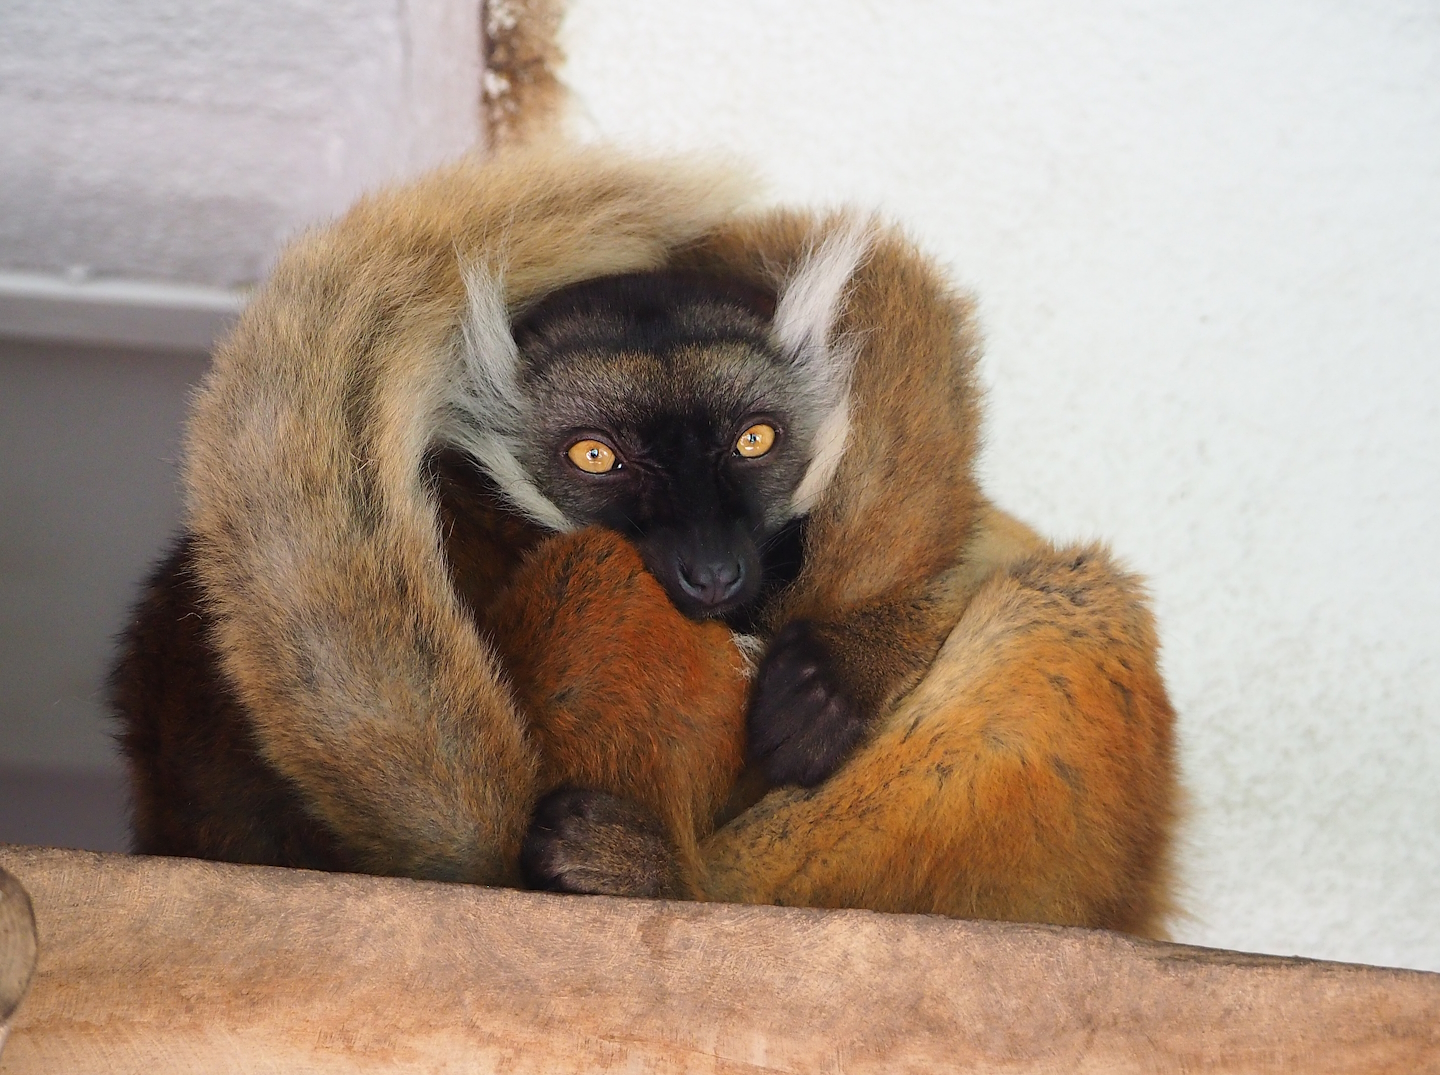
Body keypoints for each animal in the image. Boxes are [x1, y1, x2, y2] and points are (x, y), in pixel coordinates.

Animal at [111, 146, 1177, 936]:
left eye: (753, 441)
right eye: (598, 455)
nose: (712, 567)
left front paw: (844, 666)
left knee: (1066, 601)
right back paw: (657, 881)